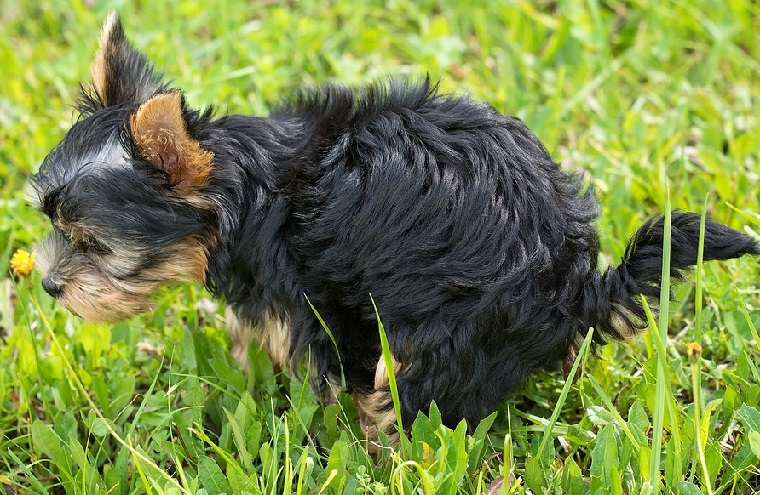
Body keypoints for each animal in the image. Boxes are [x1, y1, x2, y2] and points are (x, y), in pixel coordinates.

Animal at [31, 12, 760, 446]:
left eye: (95, 244)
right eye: (52, 224)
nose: (48, 285)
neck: (247, 189)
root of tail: (575, 285)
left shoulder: (312, 303)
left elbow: (319, 367)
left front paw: (320, 430)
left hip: (448, 330)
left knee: (416, 394)